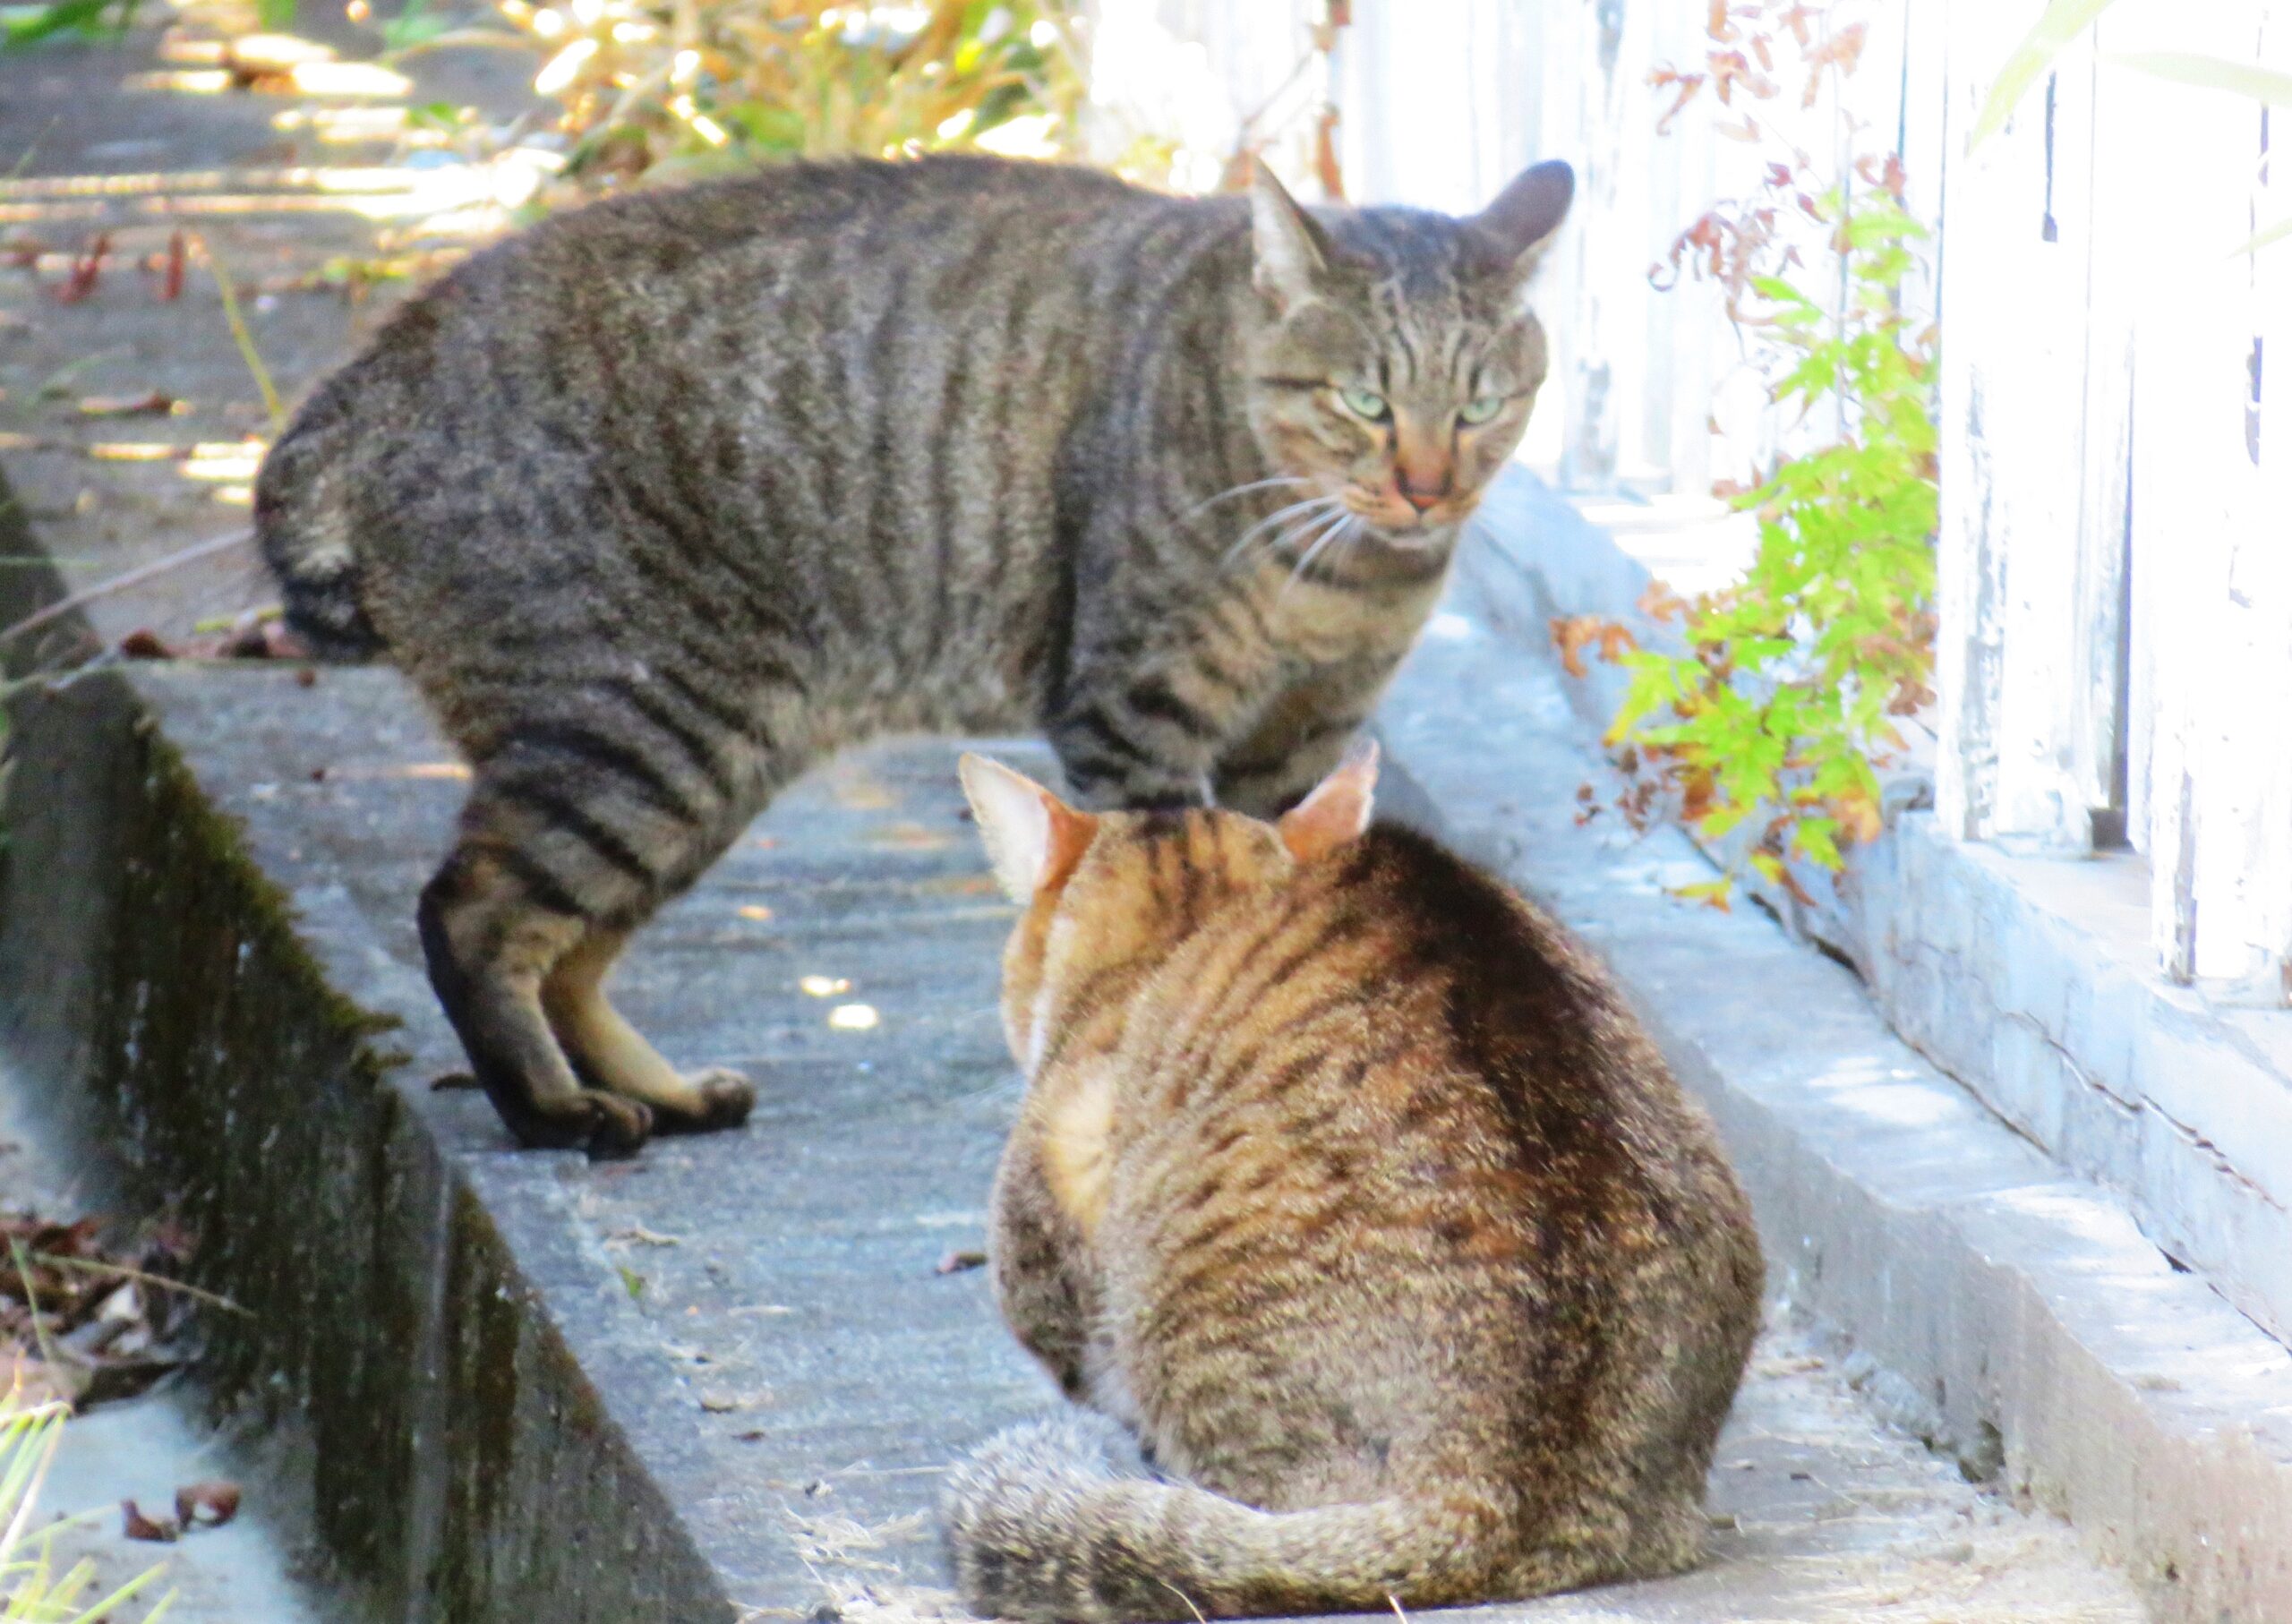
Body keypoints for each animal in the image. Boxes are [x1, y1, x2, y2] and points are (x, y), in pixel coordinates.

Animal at [255, 152, 1577, 1154]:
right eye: (1363, 401)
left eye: (1480, 406)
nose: (1426, 487)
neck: (1340, 568)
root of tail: (366, 385)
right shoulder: (1137, 711)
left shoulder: (1303, 737)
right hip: (633, 734)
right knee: (472, 916)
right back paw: (553, 1110)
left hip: (701, 765)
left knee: (569, 949)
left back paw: (660, 1091)